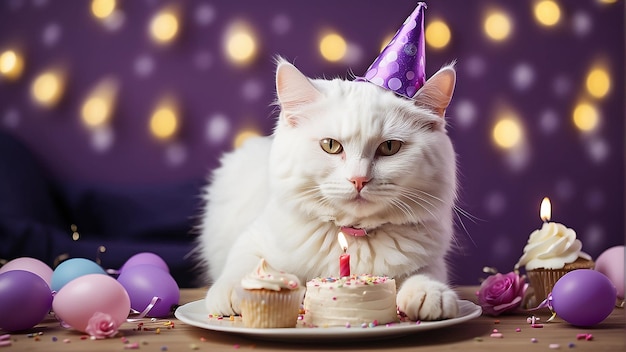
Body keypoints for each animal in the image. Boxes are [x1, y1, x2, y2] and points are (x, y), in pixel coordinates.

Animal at [195, 58, 458, 322]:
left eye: (390, 147)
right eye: (330, 145)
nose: (359, 179)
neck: (354, 234)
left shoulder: (432, 260)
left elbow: (426, 274)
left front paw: (430, 294)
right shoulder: (254, 236)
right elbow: (244, 263)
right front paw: (235, 290)